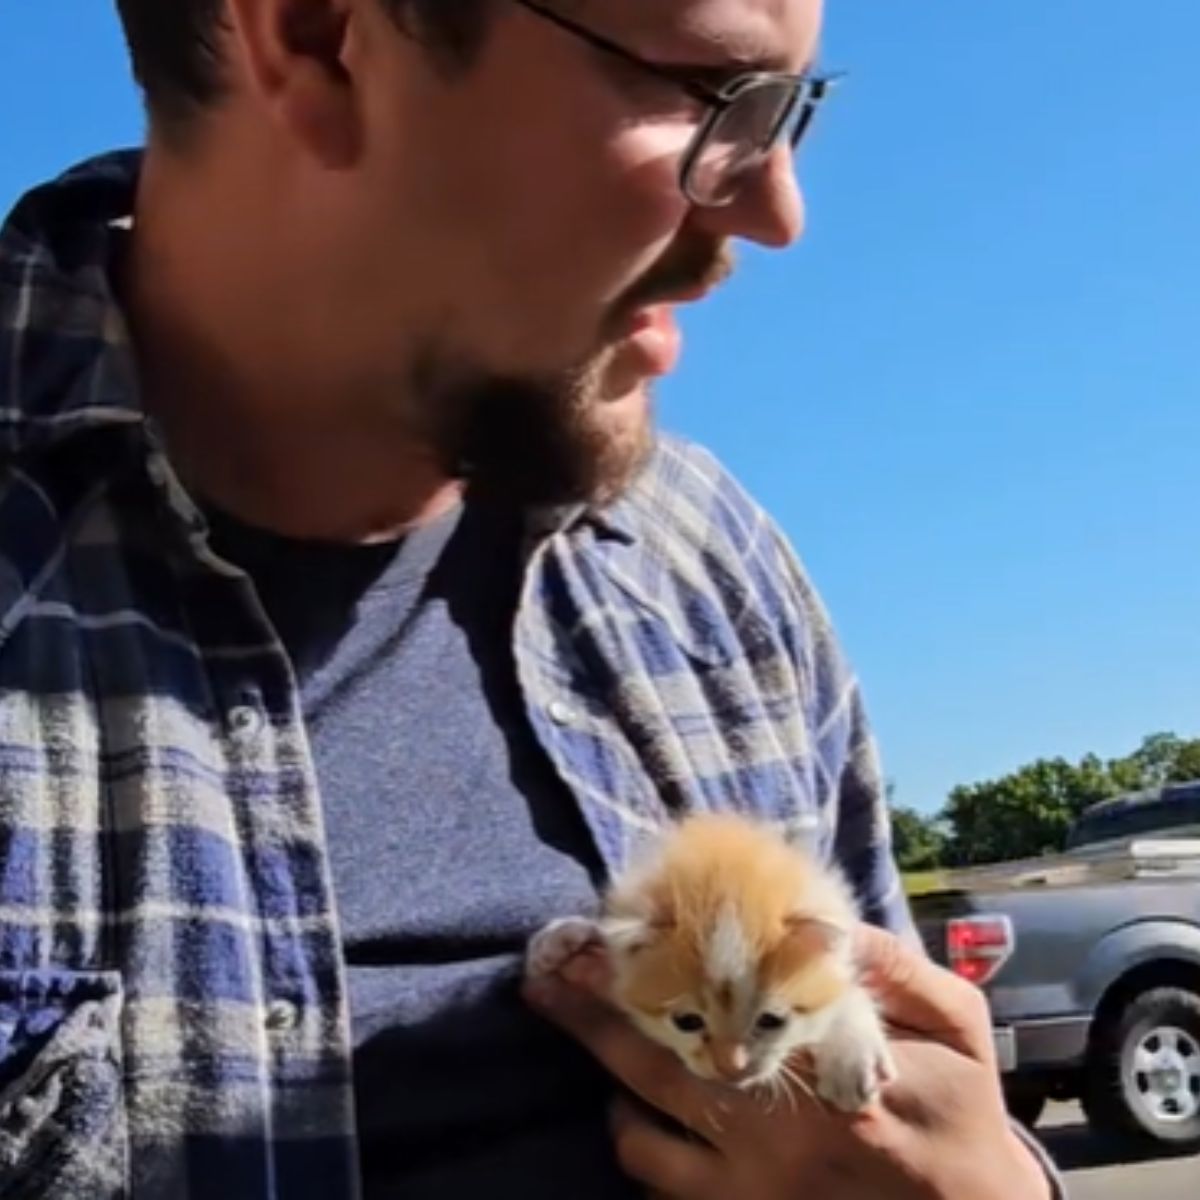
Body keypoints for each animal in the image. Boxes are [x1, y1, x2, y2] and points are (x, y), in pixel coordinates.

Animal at [530, 811, 897, 1108]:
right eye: (687, 1022)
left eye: (771, 1021)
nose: (731, 1068)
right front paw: (563, 936)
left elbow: (850, 993)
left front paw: (850, 1061)